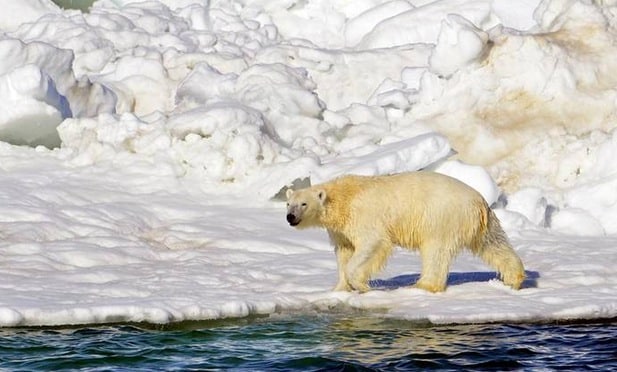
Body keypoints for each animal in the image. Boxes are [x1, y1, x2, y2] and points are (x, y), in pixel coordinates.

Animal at [286, 171, 524, 294]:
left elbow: (372, 244)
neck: (343, 198)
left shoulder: (364, 216)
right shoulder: (340, 229)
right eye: (289, 203)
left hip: (441, 217)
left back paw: (422, 285)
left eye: (303, 203)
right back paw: (514, 278)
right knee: (493, 243)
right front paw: (339, 288)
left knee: (435, 251)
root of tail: (479, 202)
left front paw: (361, 285)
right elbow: (344, 252)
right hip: (480, 223)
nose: (290, 217)